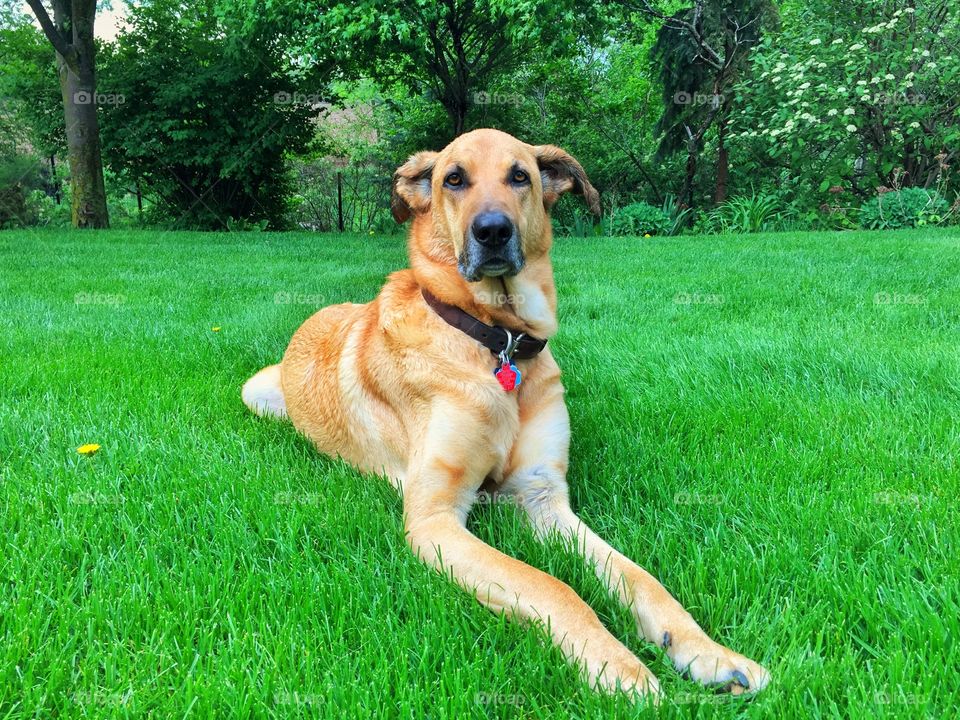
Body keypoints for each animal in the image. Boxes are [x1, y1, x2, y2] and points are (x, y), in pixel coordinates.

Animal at [244, 128, 768, 696]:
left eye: (520, 176)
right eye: (453, 179)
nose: (493, 231)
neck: (496, 338)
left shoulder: (543, 497)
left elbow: (638, 577)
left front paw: (706, 651)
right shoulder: (435, 520)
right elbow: (551, 585)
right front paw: (618, 666)